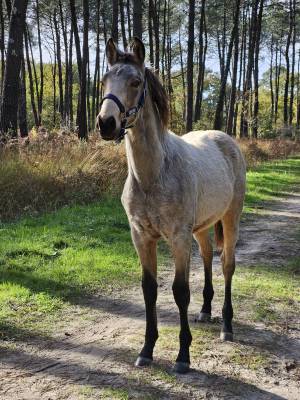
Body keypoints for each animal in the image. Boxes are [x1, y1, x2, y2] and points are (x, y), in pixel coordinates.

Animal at [96, 39, 246, 374]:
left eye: (135, 82)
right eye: (104, 80)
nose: (106, 124)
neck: (153, 175)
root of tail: (224, 139)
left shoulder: (178, 238)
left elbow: (179, 291)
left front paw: (182, 356)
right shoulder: (141, 237)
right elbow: (149, 289)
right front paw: (147, 350)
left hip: (231, 219)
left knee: (227, 265)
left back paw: (227, 327)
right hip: (201, 228)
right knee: (207, 257)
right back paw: (205, 311)